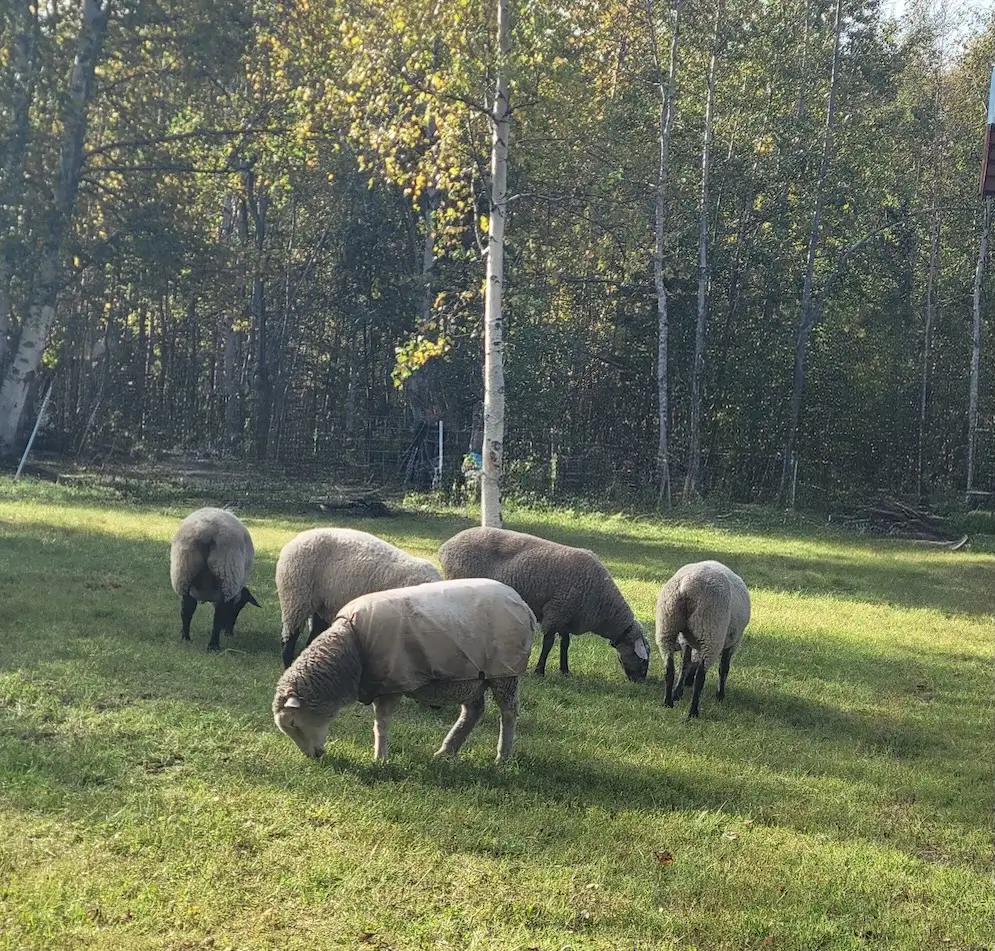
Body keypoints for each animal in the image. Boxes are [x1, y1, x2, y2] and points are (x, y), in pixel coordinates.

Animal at [169, 507, 260, 650]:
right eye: (239, 607)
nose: (229, 632)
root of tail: (206, 529)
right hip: (227, 576)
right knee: (218, 614)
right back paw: (213, 646)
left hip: (184, 571)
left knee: (187, 609)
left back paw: (186, 638)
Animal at [272, 578, 538, 764]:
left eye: (293, 723)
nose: (314, 757)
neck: (349, 650)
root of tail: (523, 605)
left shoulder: (391, 684)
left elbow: (381, 723)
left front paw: (380, 759)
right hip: (471, 676)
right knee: (474, 711)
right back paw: (446, 751)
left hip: (504, 673)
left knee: (508, 712)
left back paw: (502, 757)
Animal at [438, 526, 650, 682]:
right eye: (643, 661)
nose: (639, 682)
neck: (604, 606)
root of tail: (445, 546)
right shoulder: (555, 612)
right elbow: (548, 643)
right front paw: (540, 670)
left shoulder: (567, 616)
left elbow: (565, 644)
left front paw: (565, 670)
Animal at [655, 560, 751, 718]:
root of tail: (686, 586)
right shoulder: (733, 643)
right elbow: (724, 668)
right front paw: (720, 695)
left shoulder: (685, 641)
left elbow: (685, 665)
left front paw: (678, 692)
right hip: (711, 631)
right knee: (700, 677)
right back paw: (693, 711)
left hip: (667, 624)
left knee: (669, 668)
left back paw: (668, 702)